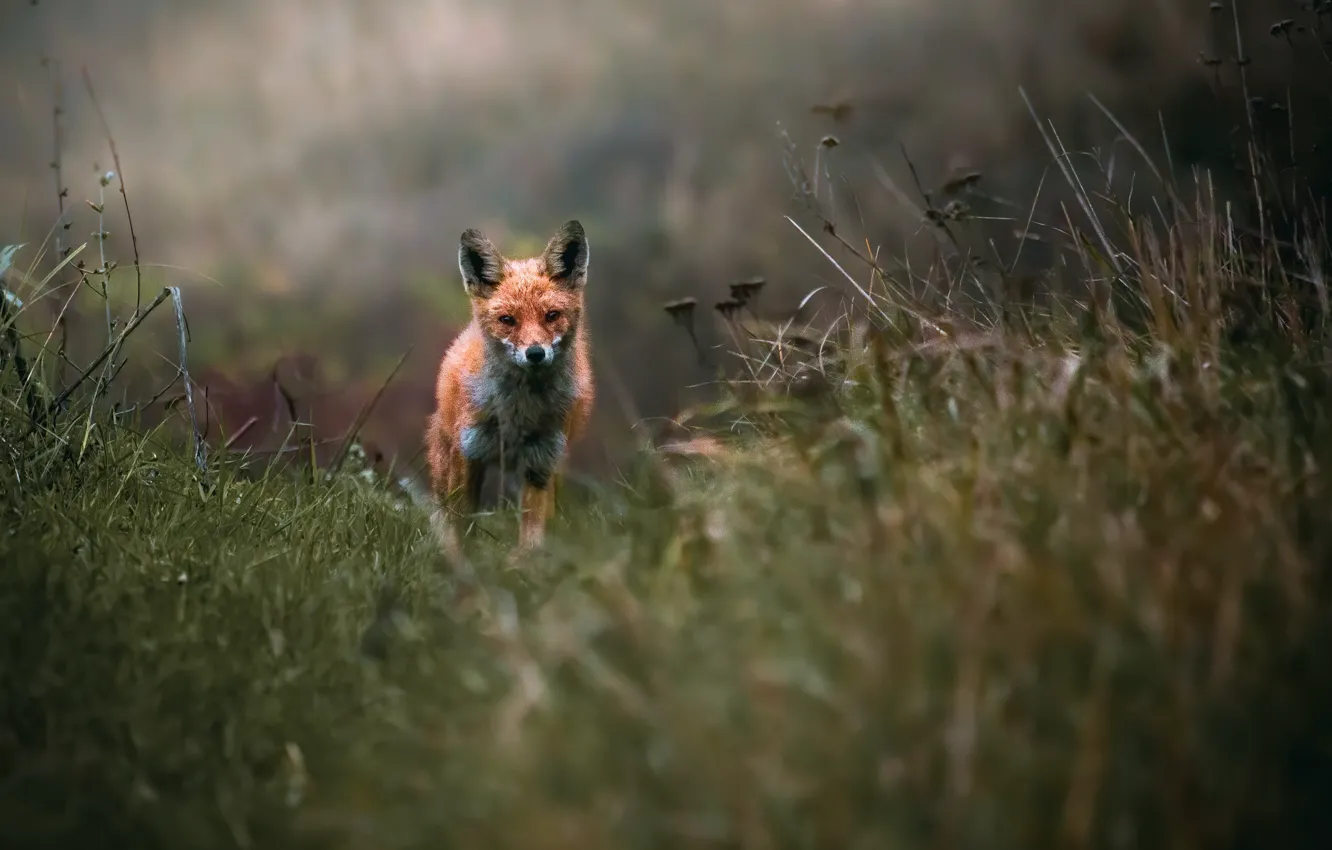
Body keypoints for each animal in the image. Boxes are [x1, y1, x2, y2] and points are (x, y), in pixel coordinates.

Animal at [425, 220, 595, 555]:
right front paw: (462, 562)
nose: (535, 353)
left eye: (551, 316)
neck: (518, 412)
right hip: (447, 458)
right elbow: (461, 524)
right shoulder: (468, 453)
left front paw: (525, 563)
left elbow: (532, 532)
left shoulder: (540, 463)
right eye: (508, 320)